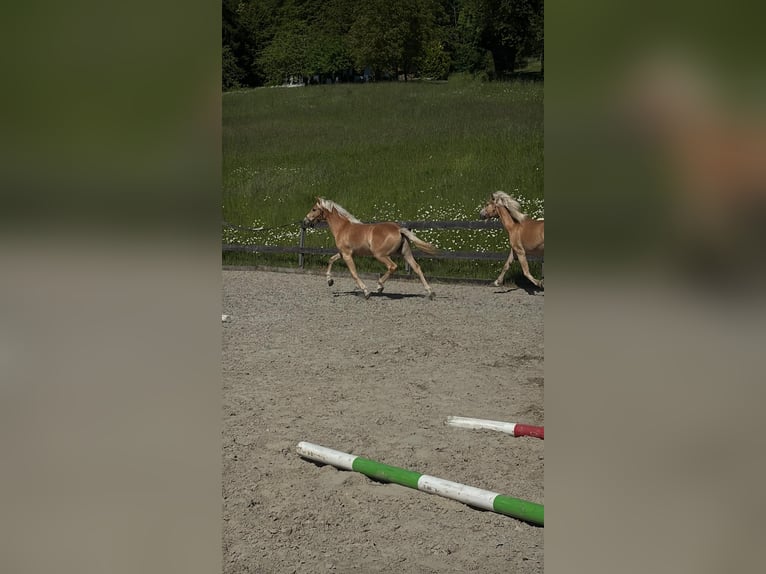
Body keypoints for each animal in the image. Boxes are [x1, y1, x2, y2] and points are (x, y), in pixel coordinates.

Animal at [303, 197, 437, 299]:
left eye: (314, 209)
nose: (305, 221)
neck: (342, 227)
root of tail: (398, 229)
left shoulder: (347, 255)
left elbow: (354, 273)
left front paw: (366, 292)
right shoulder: (343, 253)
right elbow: (331, 260)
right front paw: (330, 281)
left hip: (380, 255)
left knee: (392, 266)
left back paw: (379, 286)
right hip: (405, 253)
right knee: (417, 268)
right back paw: (430, 292)